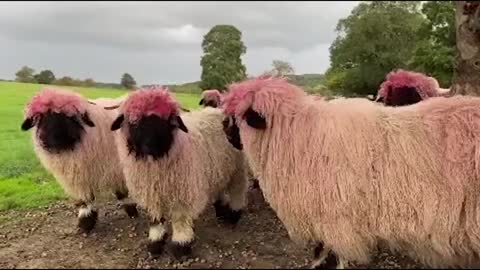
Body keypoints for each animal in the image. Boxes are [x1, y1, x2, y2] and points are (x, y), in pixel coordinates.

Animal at [22, 88, 139, 232]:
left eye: (69, 116)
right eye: (39, 117)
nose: (52, 140)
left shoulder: (116, 168)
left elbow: (123, 192)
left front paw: (131, 209)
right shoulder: (79, 174)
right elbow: (85, 199)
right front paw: (86, 221)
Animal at [109, 87, 248, 258]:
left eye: (165, 121)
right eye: (133, 121)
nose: (148, 147)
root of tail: (216, 111)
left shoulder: (183, 191)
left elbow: (180, 219)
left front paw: (181, 246)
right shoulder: (151, 193)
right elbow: (155, 219)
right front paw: (155, 243)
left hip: (237, 168)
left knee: (238, 190)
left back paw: (234, 215)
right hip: (217, 168)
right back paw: (221, 210)